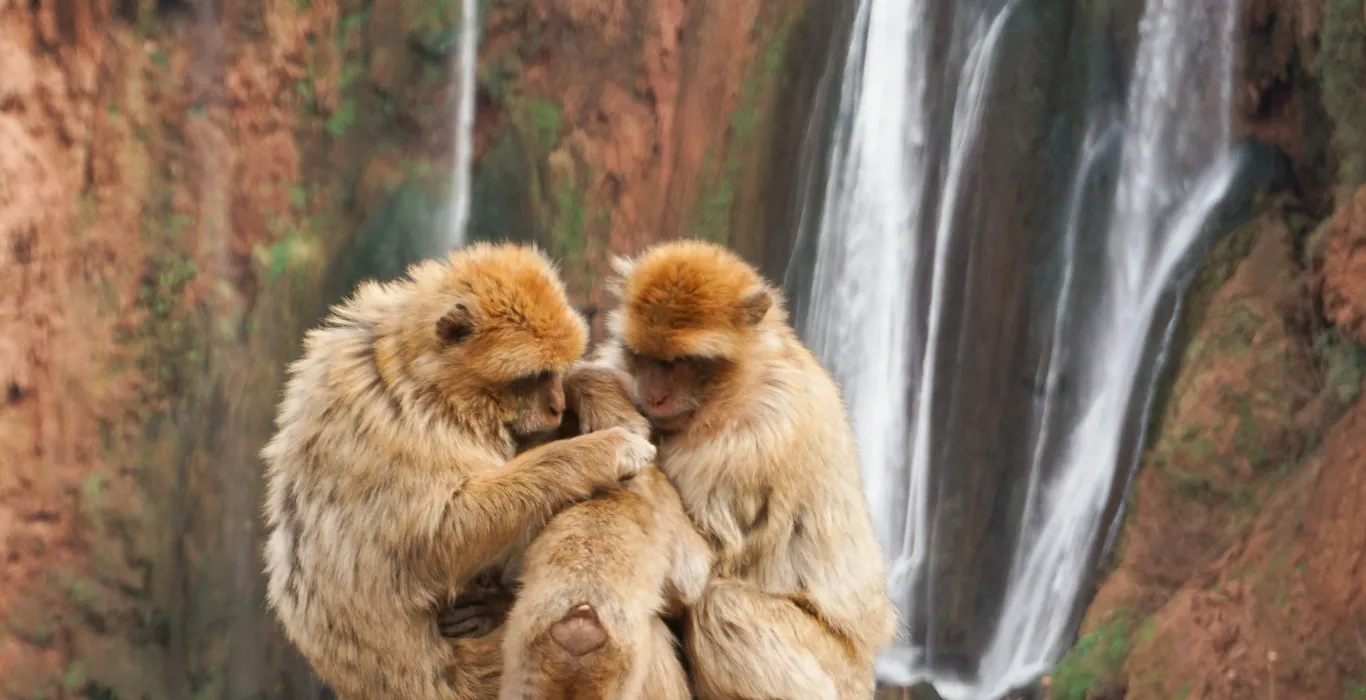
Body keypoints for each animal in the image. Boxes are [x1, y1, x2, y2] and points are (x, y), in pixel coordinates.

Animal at [260, 242, 655, 700]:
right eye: (531, 377)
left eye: (554, 372)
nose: (556, 405)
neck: (424, 383)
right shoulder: (395, 429)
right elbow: (434, 543)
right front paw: (603, 450)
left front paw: (591, 388)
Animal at [589, 239, 900, 700]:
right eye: (644, 358)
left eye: (679, 363)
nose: (654, 395)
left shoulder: (756, 439)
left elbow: (694, 571)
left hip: (835, 674)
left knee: (721, 606)